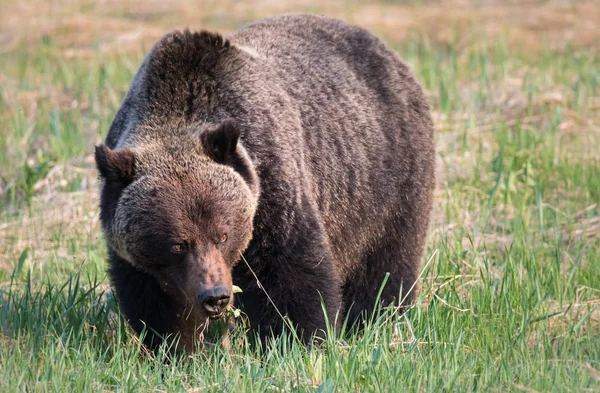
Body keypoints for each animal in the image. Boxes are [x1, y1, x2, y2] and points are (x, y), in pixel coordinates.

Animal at [97, 13, 436, 350]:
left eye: (222, 235)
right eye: (178, 243)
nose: (215, 296)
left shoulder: (271, 189)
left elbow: (291, 276)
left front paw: (298, 340)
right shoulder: (139, 255)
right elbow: (156, 302)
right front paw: (175, 347)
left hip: (388, 180)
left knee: (386, 264)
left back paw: (376, 319)